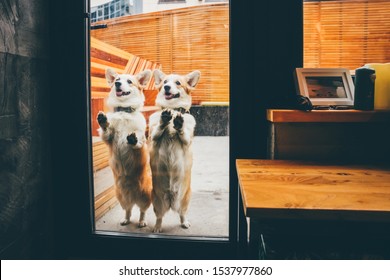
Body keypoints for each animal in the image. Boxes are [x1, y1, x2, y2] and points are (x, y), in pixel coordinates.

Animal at [96, 68, 153, 228]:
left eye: (129, 81)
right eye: (117, 80)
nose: (117, 84)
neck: (123, 111)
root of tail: (133, 196)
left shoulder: (141, 138)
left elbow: (137, 141)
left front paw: (133, 140)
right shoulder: (108, 137)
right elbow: (107, 130)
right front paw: (103, 121)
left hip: (145, 196)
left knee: (142, 210)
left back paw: (142, 221)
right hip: (121, 197)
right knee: (128, 210)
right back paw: (126, 219)